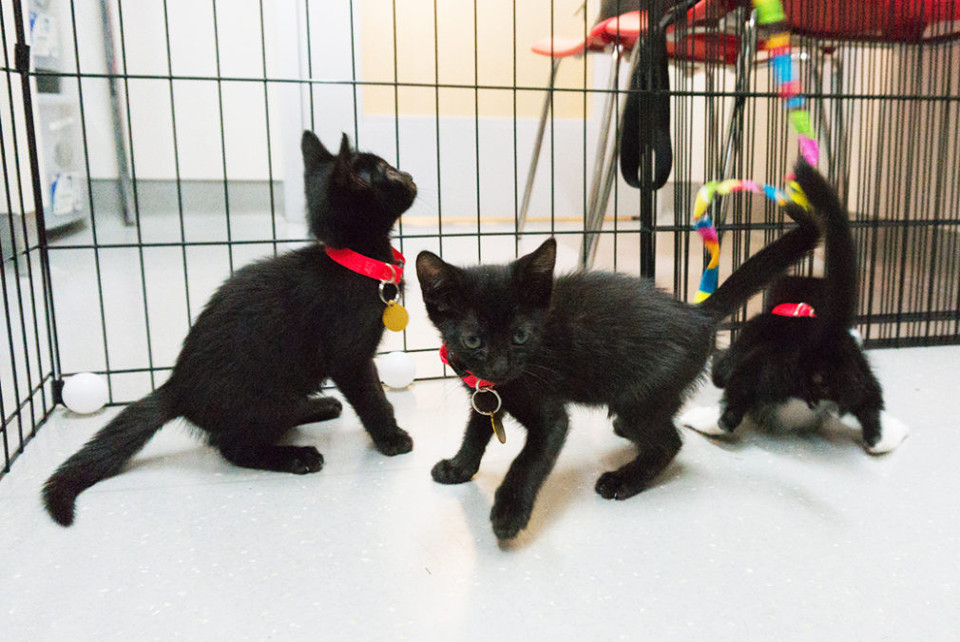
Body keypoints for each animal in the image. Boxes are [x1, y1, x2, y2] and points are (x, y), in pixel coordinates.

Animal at [43, 131, 416, 524]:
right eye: (386, 172)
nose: (408, 174)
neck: (357, 262)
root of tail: (176, 387)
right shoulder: (350, 358)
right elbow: (373, 397)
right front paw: (391, 438)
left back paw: (318, 406)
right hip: (261, 400)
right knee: (234, 448)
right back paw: (293, 456)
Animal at [416, 161, 820, 540]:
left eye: (520, 336)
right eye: (473, 340)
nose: (500, 367)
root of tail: (697, 315)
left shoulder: (550, 416)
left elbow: (528, 461)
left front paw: (509, 513)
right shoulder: (484, 396)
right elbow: (475, 432)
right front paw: (459, 467)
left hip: (639, 393)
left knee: (668, 442)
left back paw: (623, 480)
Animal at [680, 159, 912, 450]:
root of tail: (822, 343)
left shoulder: (749, 332)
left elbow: (721, 370)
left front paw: (717, 369)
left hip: (764, 366)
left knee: (736, 398)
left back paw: (707, 421)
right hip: (859, 373)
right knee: (870, 404)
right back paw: (884, 437)